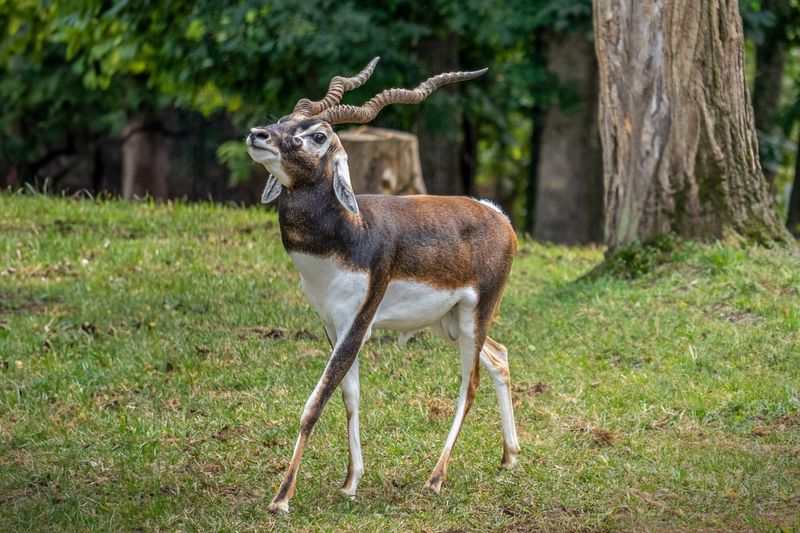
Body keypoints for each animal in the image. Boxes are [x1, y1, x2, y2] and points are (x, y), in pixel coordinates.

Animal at [247, 57, 520, 512]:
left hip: (475, 315)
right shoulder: (331, 324)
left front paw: (281, 497)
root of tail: (497, 214)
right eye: (284, 121)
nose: (258, 134)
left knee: (469, 386)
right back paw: (510, 456)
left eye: (318, 135)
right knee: (499, 357)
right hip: (449, 323)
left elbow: (315, 402)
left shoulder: (359, 322)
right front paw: (351, 481)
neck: (348, 234)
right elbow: (349, 395)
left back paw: (436, 477)